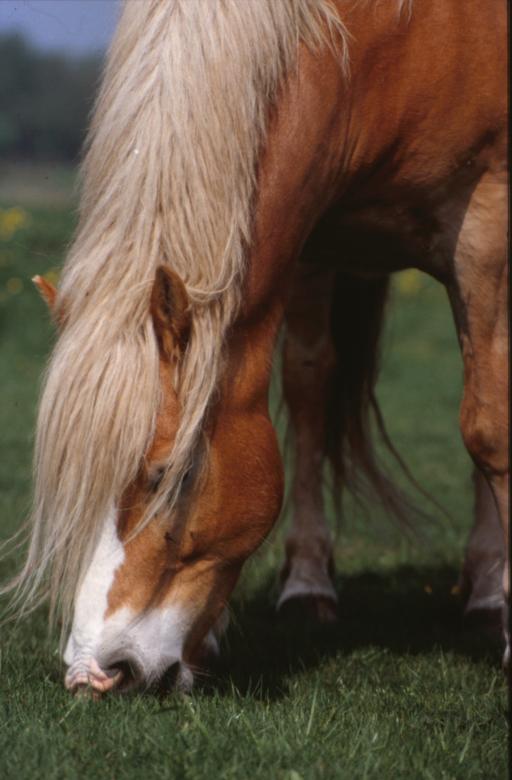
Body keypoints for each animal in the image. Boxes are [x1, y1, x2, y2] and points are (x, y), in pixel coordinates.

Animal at [3, 0, 507, 694]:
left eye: (175, 475)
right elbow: (304, 387)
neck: (410, 34)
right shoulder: (304, 224)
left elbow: (488, 428)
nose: (94, 673)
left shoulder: (487, 225)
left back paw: (485, 593)